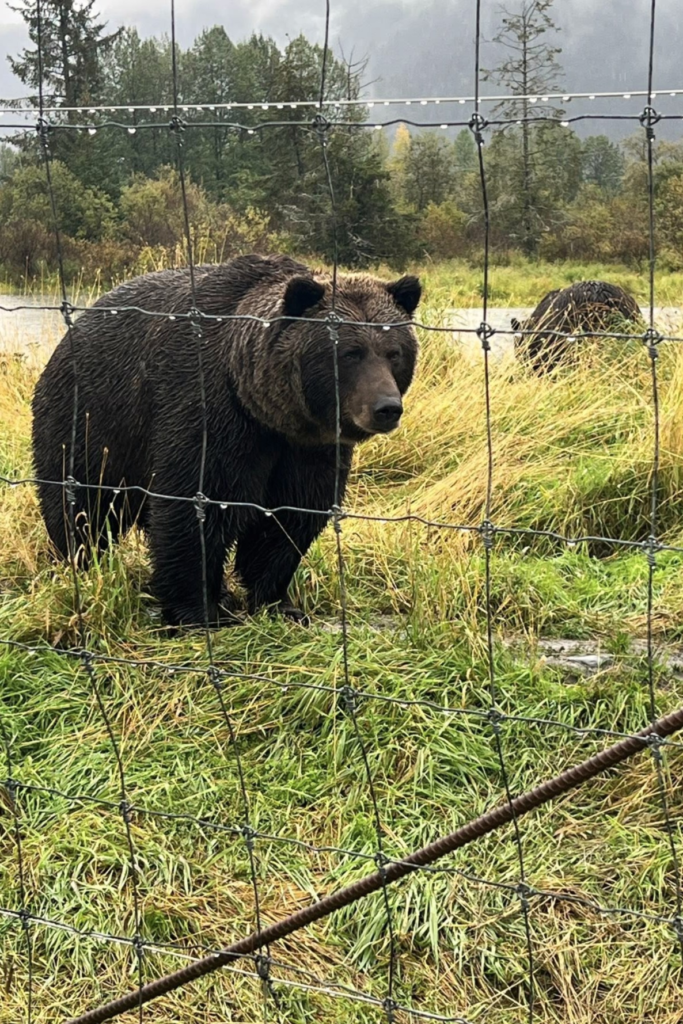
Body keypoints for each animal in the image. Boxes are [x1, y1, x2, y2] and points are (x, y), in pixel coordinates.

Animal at [31, 254, 421, 627]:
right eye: (350, 352)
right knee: (81, 503)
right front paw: (199, 610)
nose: (386, 407)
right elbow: (197, 505)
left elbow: (291, 516)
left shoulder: (308, 448)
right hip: (90, 419)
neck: (267, 411)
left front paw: (279, 603)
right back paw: (80, 561)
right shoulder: (212, 414)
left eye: (394, 352)